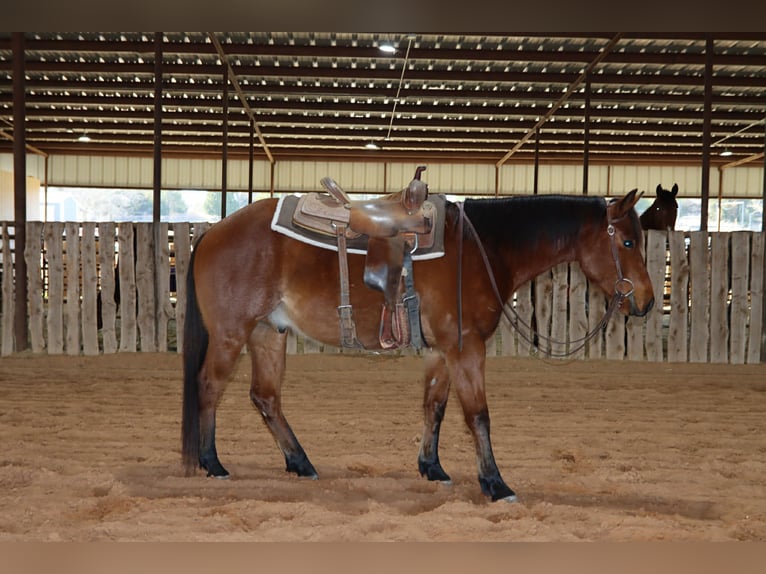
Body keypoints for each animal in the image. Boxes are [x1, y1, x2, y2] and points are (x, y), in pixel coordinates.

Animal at [180, 188, 655, 502]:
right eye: (628, 241)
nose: (648, 301)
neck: (482, 249)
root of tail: (213, 232)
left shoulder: (442, 350)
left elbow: (435, 407)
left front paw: (433, 468)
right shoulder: (466, 348)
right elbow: (478, 416)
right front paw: (495, 484)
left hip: (268, 333)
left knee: (265, 397)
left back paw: (300, 463)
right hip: (231, 333)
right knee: (209, 387)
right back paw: (212, 463)